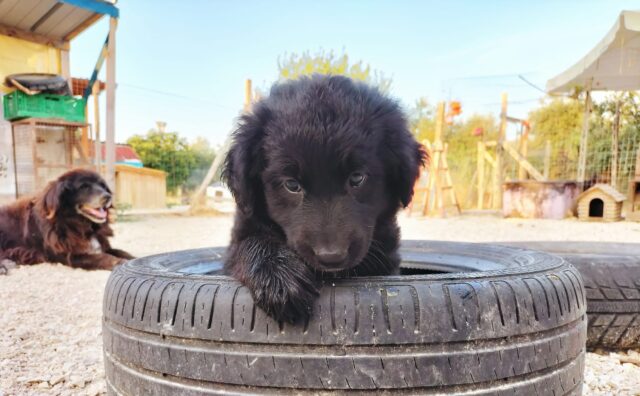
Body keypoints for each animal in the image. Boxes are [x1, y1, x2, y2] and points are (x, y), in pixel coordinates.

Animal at [0, 167, 133, 272]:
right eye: (84, 186)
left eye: (103, 186)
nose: (108, 196)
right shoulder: (68, 255)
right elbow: (100, 257)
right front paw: (118, 262)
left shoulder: (104, 246)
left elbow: (122, 252)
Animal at [222, 76, 428, 324]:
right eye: (292, 185)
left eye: (357, 178)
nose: (331, 257)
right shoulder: (241, 233)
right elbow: (251, 243)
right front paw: (279, 278)